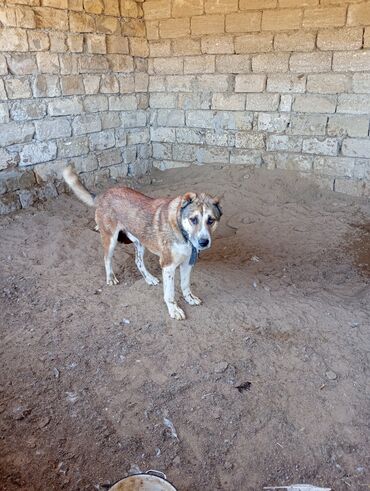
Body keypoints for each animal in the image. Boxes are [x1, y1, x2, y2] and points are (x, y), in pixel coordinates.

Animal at [62, 165, 223, 320]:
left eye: (211, 220)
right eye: (193, 219)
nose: (203, 242)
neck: (183, 234)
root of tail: (104, 193)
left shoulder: (188, 263)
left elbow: (185, 285)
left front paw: (189, 298)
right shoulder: (168, 266)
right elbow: (170, 294)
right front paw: (174, 310)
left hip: (139, 242)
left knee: (138, 261)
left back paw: (149, 278)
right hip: (111, 239)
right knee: (107, 258)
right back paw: (111, 277)